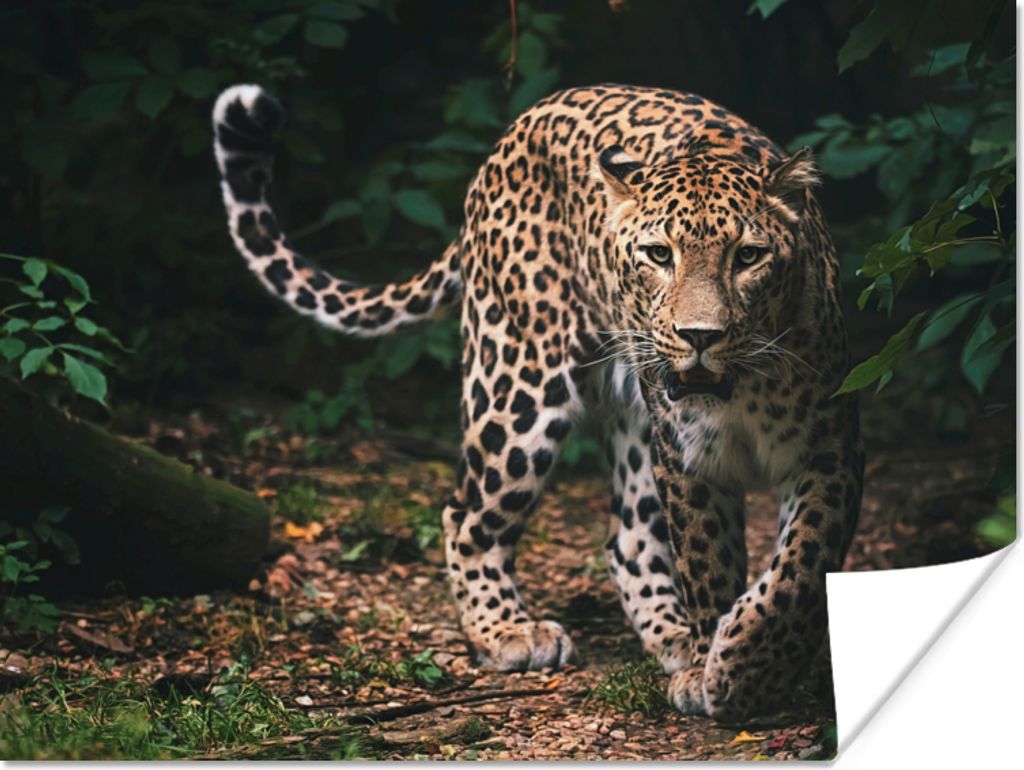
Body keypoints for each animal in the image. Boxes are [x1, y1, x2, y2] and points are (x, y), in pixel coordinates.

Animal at [211, 82, 863, 720]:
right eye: (659, 255)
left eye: (748, 256)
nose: (699, 336)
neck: (741, 389)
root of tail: (516, 130)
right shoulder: (687, 461)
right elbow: (708, 566)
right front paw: (723, 671)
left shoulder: (830, 449)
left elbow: (802, 568)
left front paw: (746, 666)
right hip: (518, 383)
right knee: (466, 514)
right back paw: (509, 632)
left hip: (629, 418)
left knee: (627, 537)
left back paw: (673, 641)